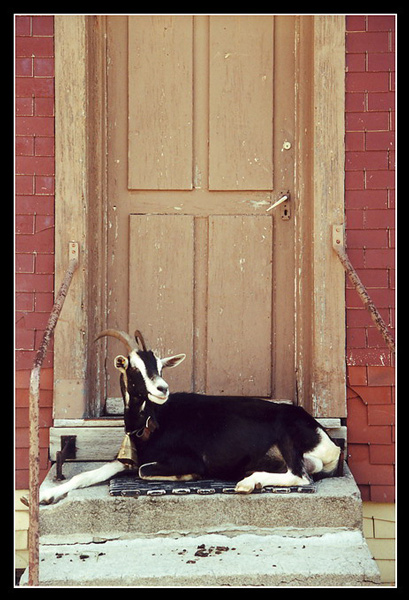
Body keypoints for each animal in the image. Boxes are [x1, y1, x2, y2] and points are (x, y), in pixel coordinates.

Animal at [38, 330, 340, 504]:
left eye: (160, 367)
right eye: (134, 367)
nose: (162, 389)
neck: (153, 422)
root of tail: (330, 444)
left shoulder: (187, 459)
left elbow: (144, 470)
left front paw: (188, 476)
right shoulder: (126, 459)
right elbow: (86, 474)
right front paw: (46, 494)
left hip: (286, 435)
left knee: (301, 476)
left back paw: (247, 483)